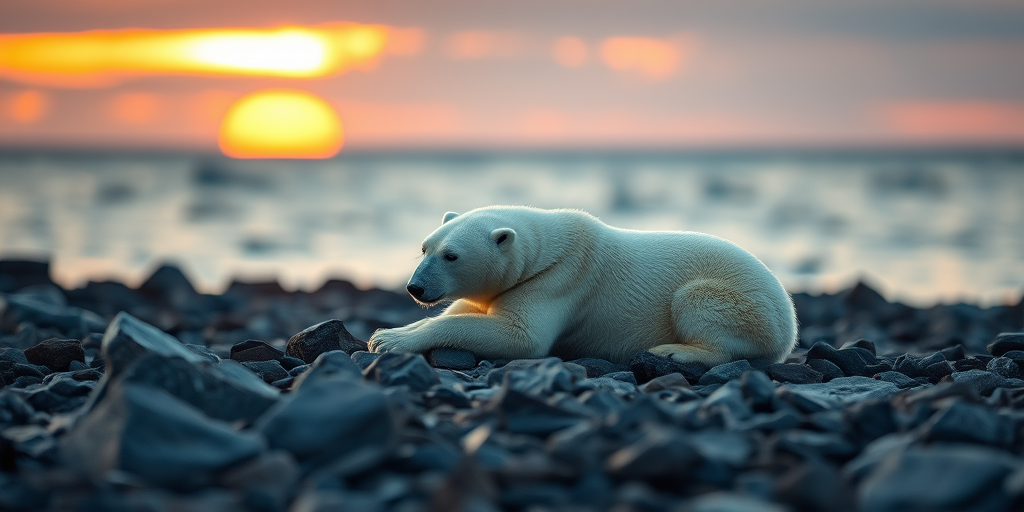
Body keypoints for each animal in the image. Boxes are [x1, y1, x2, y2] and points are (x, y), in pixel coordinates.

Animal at [368, 206, 797, 366]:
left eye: (451, 256)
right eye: (425, 247)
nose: (415, 288)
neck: (551, 248)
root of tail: (791, 327)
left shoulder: (561, 280)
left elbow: (521, 337)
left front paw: (391, 342)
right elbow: (468, 309)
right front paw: (386, 333)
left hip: (746, 304)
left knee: (698, 301)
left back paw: (675, 350)